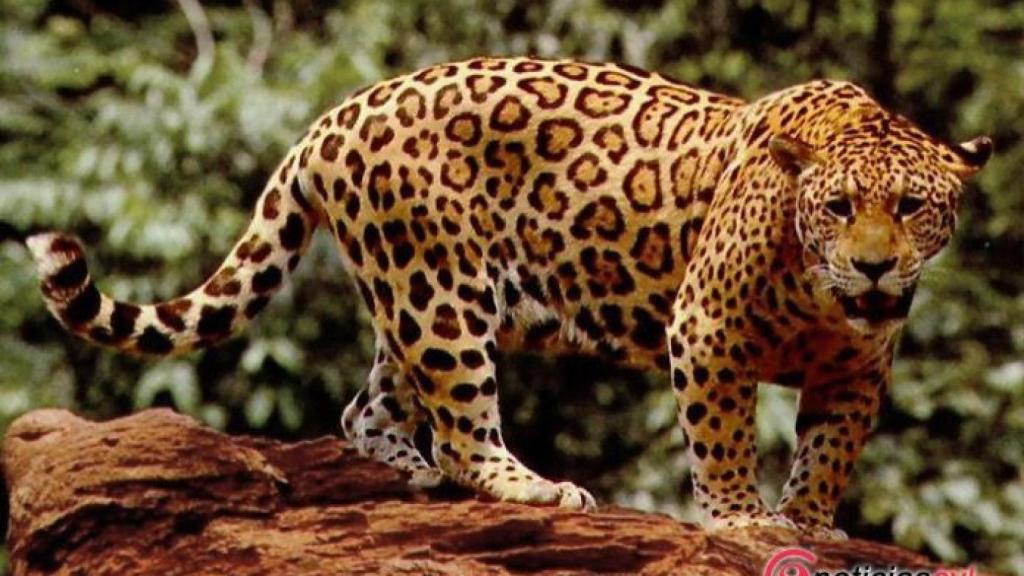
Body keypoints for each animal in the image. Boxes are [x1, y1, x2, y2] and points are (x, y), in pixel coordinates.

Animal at [26, 56, 991, 540]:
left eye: (911, 207)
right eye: (839, 207)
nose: (874, 268)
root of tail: (333, 116)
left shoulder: (856, 369)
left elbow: (829, 451)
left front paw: (811, 524)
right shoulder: (706, 328)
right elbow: (722, 437)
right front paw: (743, 521)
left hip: (411, 296)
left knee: (368, 406)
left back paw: (410, 474)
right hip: (441, 295)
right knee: (461, 426)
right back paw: (532, 488)